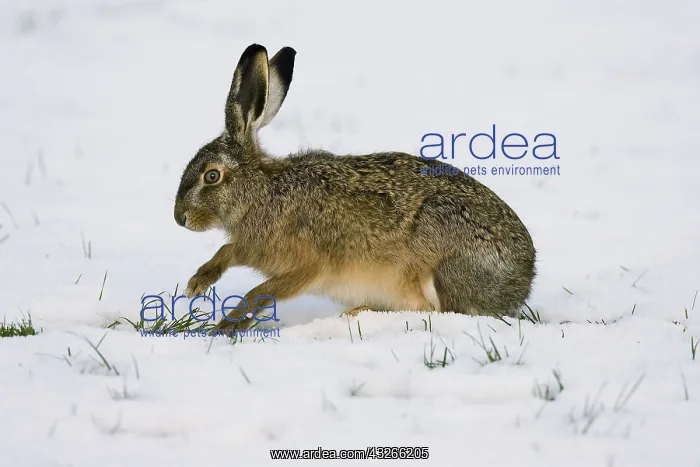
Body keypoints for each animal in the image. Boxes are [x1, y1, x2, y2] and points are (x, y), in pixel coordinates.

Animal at [173, 43, 536, 333]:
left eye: (211, 176)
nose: (180, 218)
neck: (261, 191)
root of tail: (524, 279)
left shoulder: (308, 266)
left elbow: (260, 292)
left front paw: (224, 327)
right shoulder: (249, 247)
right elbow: (227, 251)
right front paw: (196, 285)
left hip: (443, 266)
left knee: (441, 311)